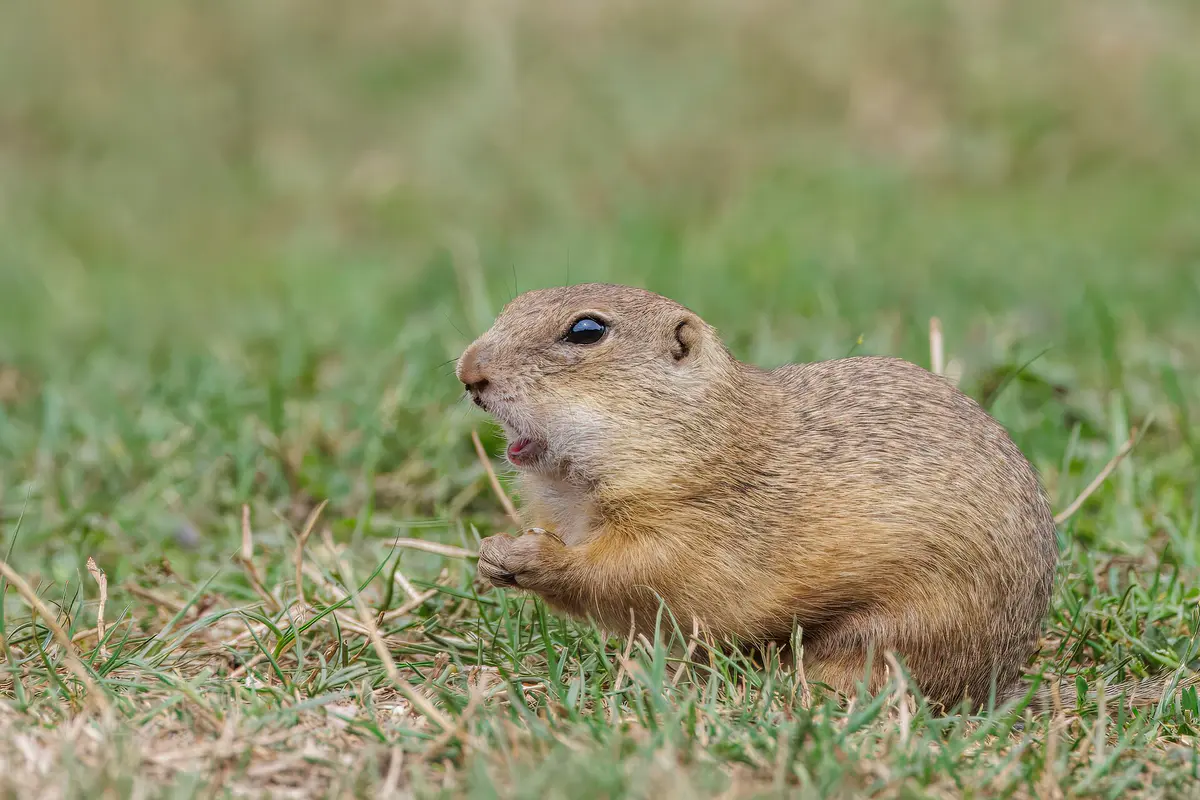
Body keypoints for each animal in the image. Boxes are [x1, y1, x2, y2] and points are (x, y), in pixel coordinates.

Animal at [456, 283, 1186, 711]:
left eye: (586, 331)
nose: (468, 371)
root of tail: (1002, 678)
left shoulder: (698, 523)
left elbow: (640, 577)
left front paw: (529, 557)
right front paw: (493, 551)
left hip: (896, 630)